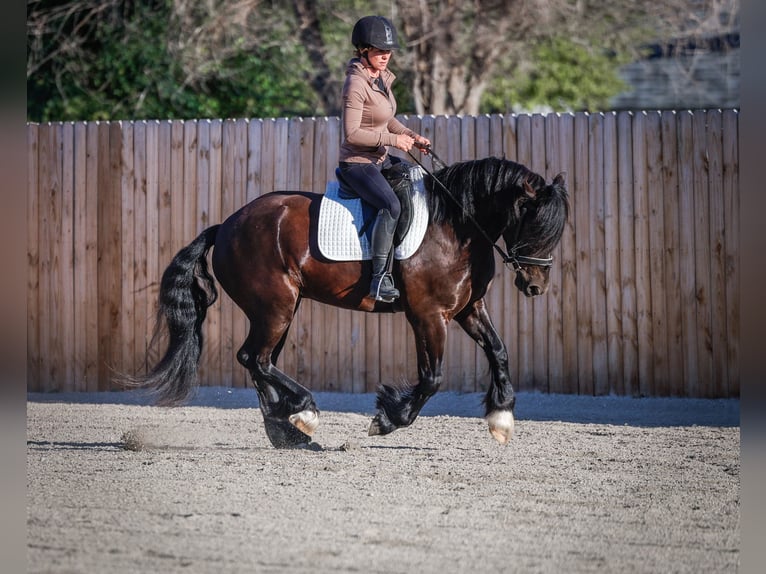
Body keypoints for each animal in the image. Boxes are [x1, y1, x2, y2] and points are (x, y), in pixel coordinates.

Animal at [128, 156, 569, 448]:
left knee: (258, 361)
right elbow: (432, 378)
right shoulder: (428, 315)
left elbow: (499, 350)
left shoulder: (467, 309)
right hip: (275, 307)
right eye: (533, 222)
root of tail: (226, 226)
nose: (535, 286)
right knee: (256, 358)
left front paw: (502, 417)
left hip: (279, 310)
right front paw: (387, 419)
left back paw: (286, 431)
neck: (455, 227)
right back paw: (303, 414)